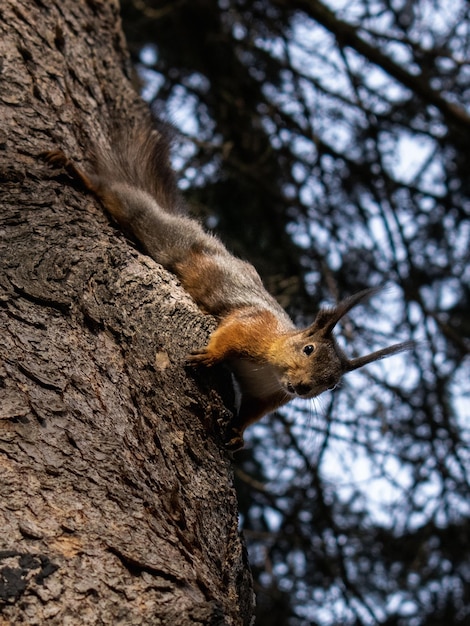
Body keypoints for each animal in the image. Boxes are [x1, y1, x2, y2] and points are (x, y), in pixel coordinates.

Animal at [43, 119, 412, 448]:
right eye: (308, 349)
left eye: (333, 384)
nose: (304, 388)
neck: (272, 366)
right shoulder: (254, 325)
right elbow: (230, 333)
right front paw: (210, 355)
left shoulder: (268, 395)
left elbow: (250, 412)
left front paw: (238, 434)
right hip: (160, 232)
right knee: (123, 199)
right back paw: (76, 171)